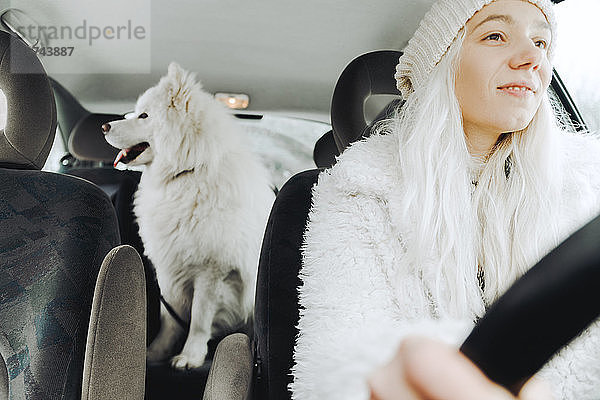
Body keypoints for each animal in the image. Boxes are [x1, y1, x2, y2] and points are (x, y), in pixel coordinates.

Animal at [102, 61, 274, 368]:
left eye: (144, 115)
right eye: (135, 111)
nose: (104, 125)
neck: (188, 173)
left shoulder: (212, 270)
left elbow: (199, 319)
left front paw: (190, 356)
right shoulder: (170, 267)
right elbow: (170, 318)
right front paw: (156, 352)